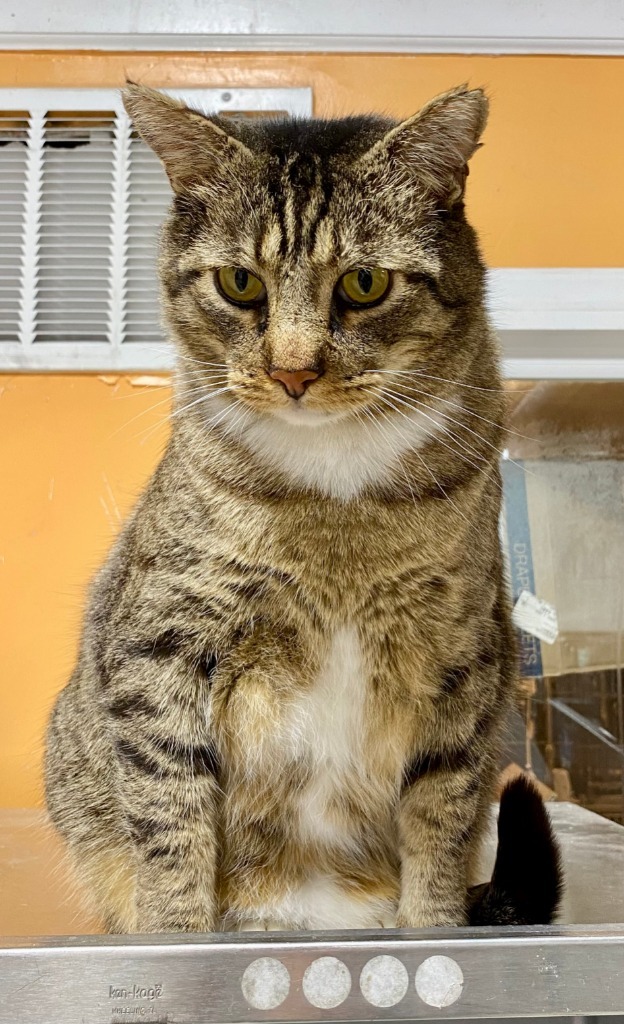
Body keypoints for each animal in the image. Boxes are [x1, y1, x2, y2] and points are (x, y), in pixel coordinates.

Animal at [45, 83, 561, 933]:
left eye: (364, 284)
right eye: (239, 284)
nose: (293, 372)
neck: (335, 498)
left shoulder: (462, 657)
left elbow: (441, 819)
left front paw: (431, 927)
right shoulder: (162, 646)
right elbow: (171, 815)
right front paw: (177, 934)